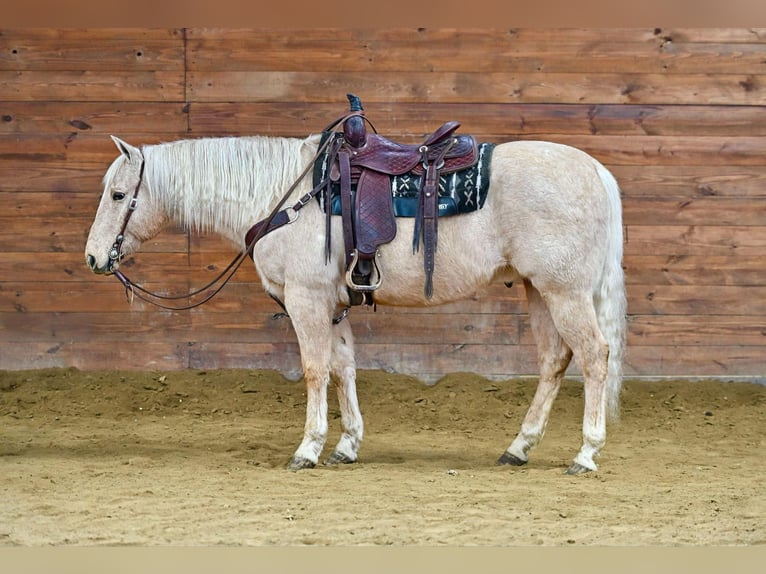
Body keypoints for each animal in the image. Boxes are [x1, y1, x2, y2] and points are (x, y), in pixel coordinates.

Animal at [85, 128, 624, 474]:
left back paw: (586, 453)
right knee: (555, 360)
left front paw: (307, 448)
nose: (93, 257)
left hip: (565, 292)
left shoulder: (305, 300)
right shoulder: (334, 304)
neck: (288, 197)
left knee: (594, 355)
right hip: (540, 291)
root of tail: (596, 170)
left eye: (118, 195)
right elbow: (343, 368)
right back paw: (519, 447)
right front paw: (346, 446)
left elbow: (314, 370)